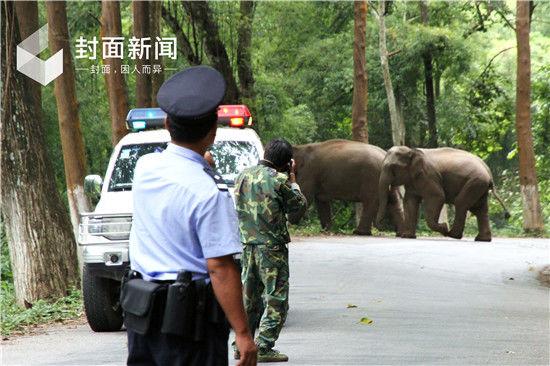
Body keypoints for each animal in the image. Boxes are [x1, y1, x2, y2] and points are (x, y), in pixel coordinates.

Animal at [378, 146, 512, 243]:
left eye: (392, 167)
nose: (379, 228)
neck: (411, 150)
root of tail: (489, 173)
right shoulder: (413, 180)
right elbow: (410, 202)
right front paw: (407, 236)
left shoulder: (428, 175)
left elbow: (438, 197)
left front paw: (443, 227)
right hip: (480, 186)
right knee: (480, 209)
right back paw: (481, 239)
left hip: (475, 182)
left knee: (461, 203)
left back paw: (452, 234)